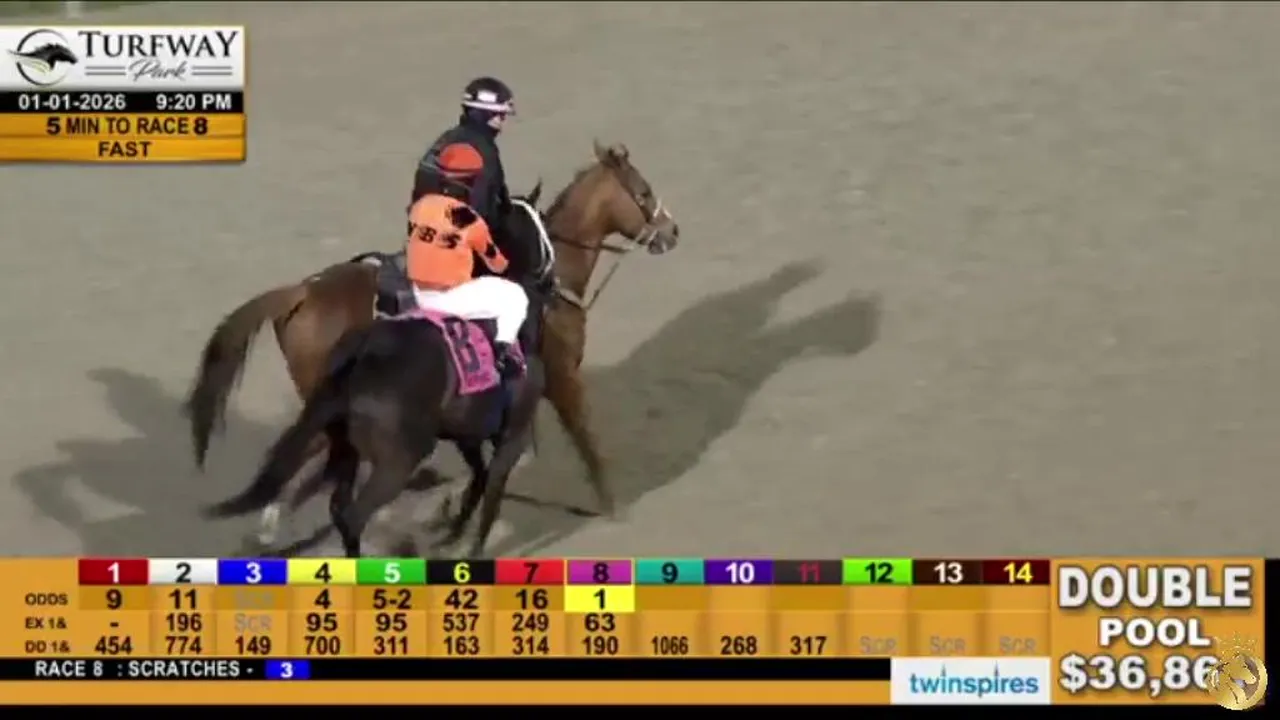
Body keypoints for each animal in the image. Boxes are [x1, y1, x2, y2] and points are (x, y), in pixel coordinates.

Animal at [203, 310, 545, 558]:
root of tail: (359, 354)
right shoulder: (512, 437)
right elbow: (491, 495)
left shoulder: (467, 436)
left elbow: (480, 478)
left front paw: (453, 533)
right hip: (399, 460)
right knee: (353, 515)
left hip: (346, 446)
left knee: (338, 506)